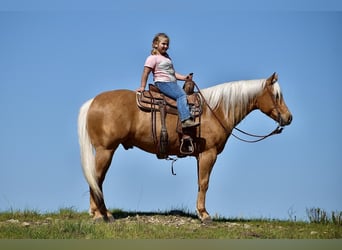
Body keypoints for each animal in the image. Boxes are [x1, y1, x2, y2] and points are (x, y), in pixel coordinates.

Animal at [78, 72, 294, 223]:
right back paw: (101, 215)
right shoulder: (209, 154)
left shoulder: (200, 156)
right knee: (96, 179)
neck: (215, 110)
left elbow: (199, 183)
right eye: (277, 95)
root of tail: (93, 102)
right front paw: (205, 215)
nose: (289, 117)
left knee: (96, 179)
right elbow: (205, 183)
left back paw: (99, 213)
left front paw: (200, 212)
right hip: (106, 150)